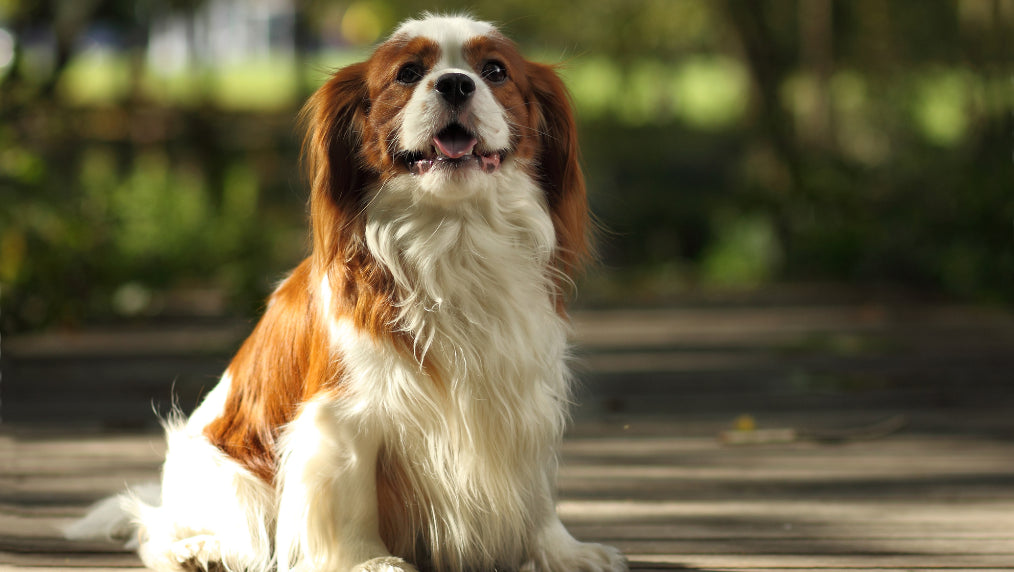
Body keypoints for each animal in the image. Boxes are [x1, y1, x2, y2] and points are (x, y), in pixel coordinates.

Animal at [65, 13, 624, 572]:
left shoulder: (524, 398)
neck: (454, 236)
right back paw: (198, 550)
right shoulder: (340, 418)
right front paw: (368, 561)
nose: (455, 83)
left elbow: (536, 492)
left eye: (495, 71)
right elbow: (351, 496)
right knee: (156, 528)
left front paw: (562, 551)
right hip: (225, 476)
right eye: (408, 74)